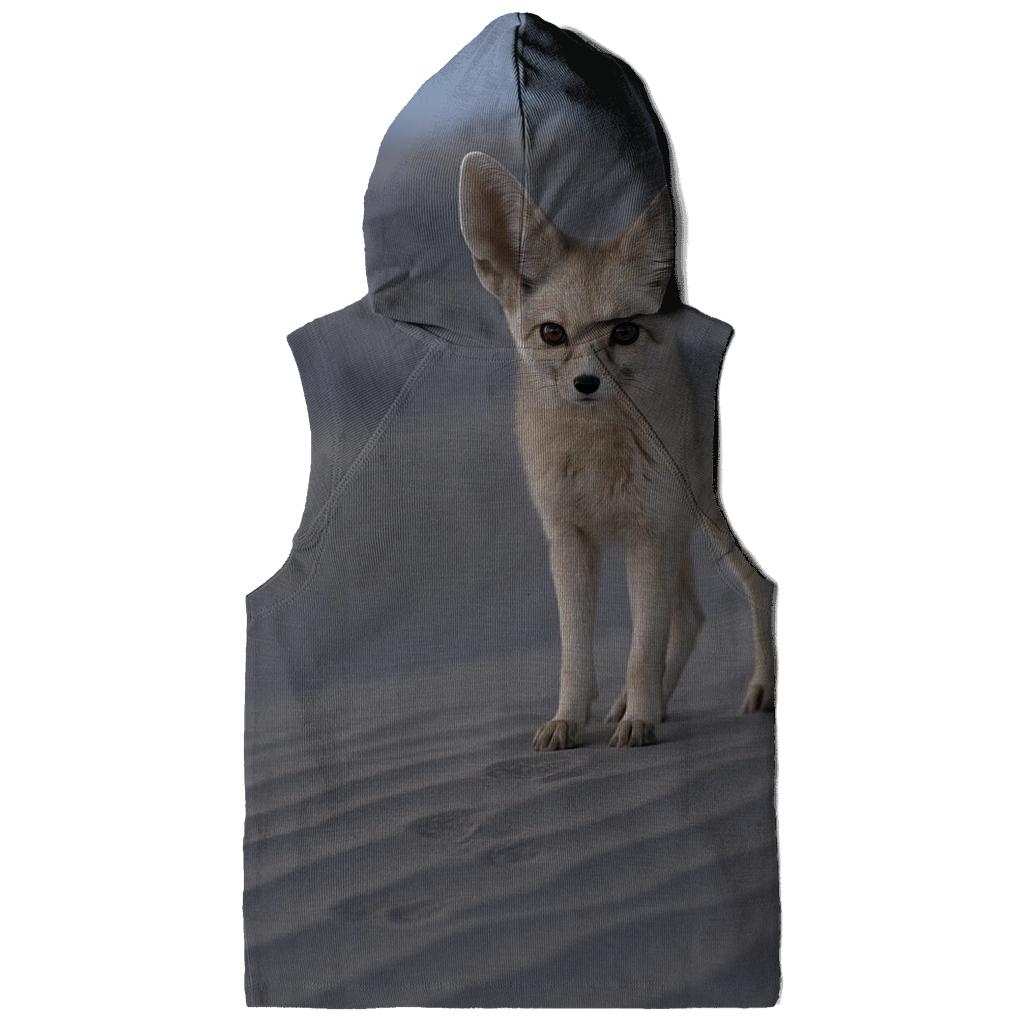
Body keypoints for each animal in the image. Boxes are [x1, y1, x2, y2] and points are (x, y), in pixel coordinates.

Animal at [458, 152, 775, 750]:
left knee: (756, 589)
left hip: (703, 527)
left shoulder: (644, 535)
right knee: (691, 616)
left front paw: (639, 722)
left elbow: (642, 646)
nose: (586, 384)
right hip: (676, 534)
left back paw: (758, 689)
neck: (595, 457)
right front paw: (569, 720)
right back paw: (642, 703)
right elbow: (577, 652)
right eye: (553, 334)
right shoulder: (571, 539)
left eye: (623, 332)